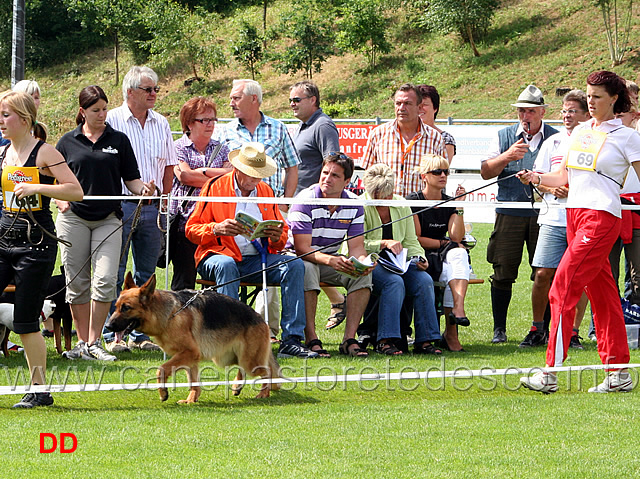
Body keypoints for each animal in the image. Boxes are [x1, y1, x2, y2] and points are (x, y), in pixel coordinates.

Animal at [105, 274, 280, 404]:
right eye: (116, 307)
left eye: (126, 308)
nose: (107, 326)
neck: (169, 315)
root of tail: (261, 320)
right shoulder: (190, 358)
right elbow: (193, 382)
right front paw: (191, 399)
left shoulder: (189, 353)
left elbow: (161, 369)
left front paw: (163, 392)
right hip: (230, 358)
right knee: (246, 369)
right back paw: (237, 386)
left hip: (249, 361)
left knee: (267, 371)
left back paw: (264, 393)